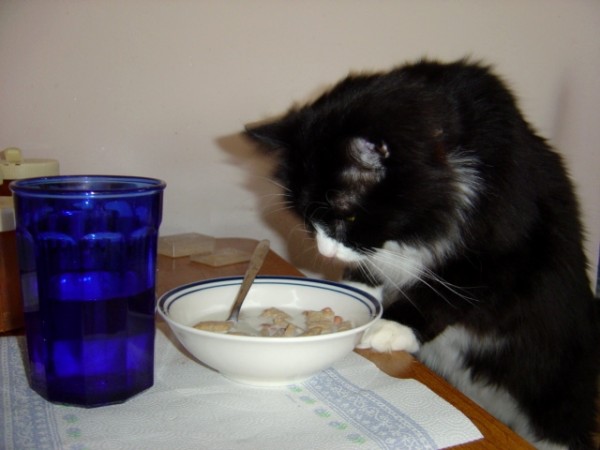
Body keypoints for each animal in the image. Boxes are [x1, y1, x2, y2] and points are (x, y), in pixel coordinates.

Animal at [245, 59, 600, 450]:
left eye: (346, 216)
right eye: (307, 217)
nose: (326, 249)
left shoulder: (504, 250)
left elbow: (443, 291)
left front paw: (388, 325)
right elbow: (367, 269)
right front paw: (359, 298)